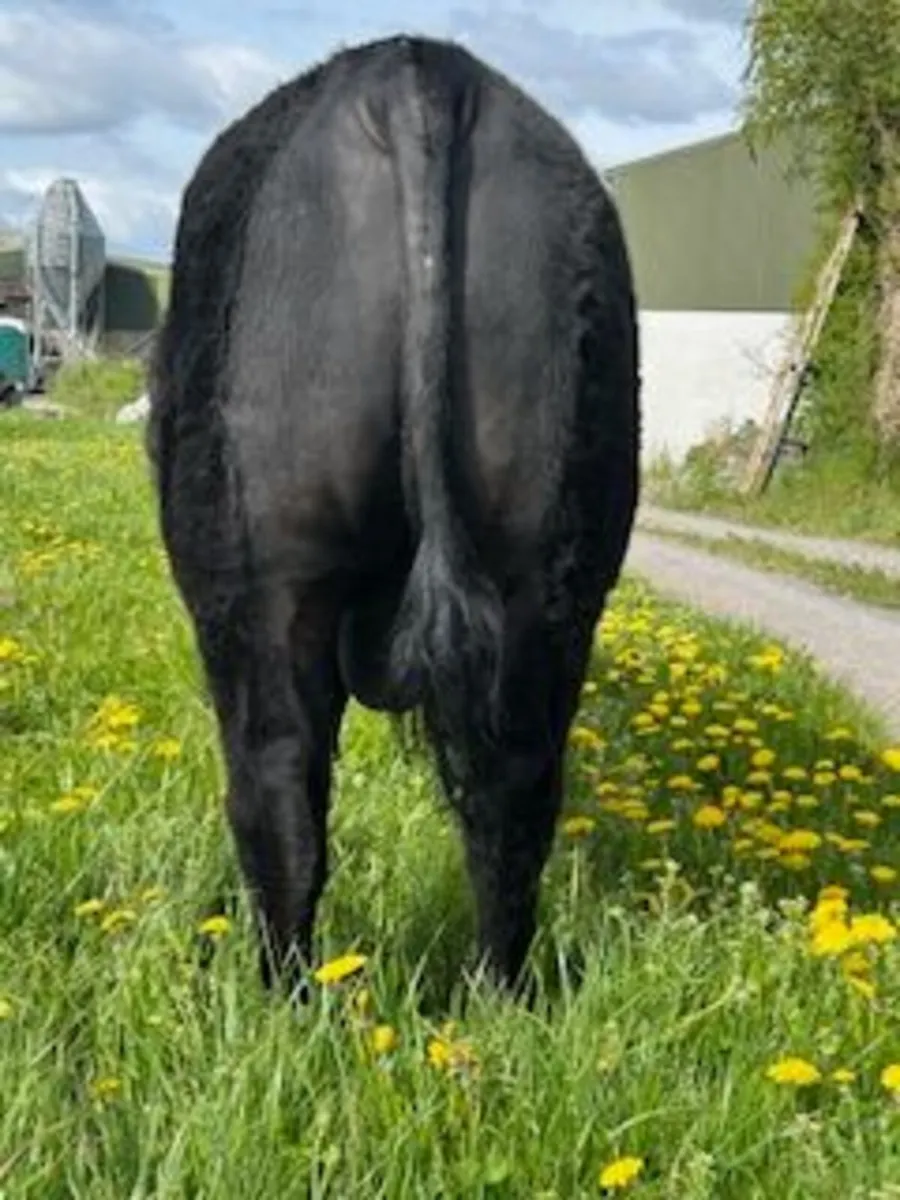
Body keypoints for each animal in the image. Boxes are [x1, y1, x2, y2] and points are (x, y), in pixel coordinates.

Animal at [147, 33, 640, 998]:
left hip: (261, 573)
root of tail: (416, 69)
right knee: (516, 798)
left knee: (278, 791)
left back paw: (280, 997)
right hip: (552, 570)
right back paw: (497, 999)